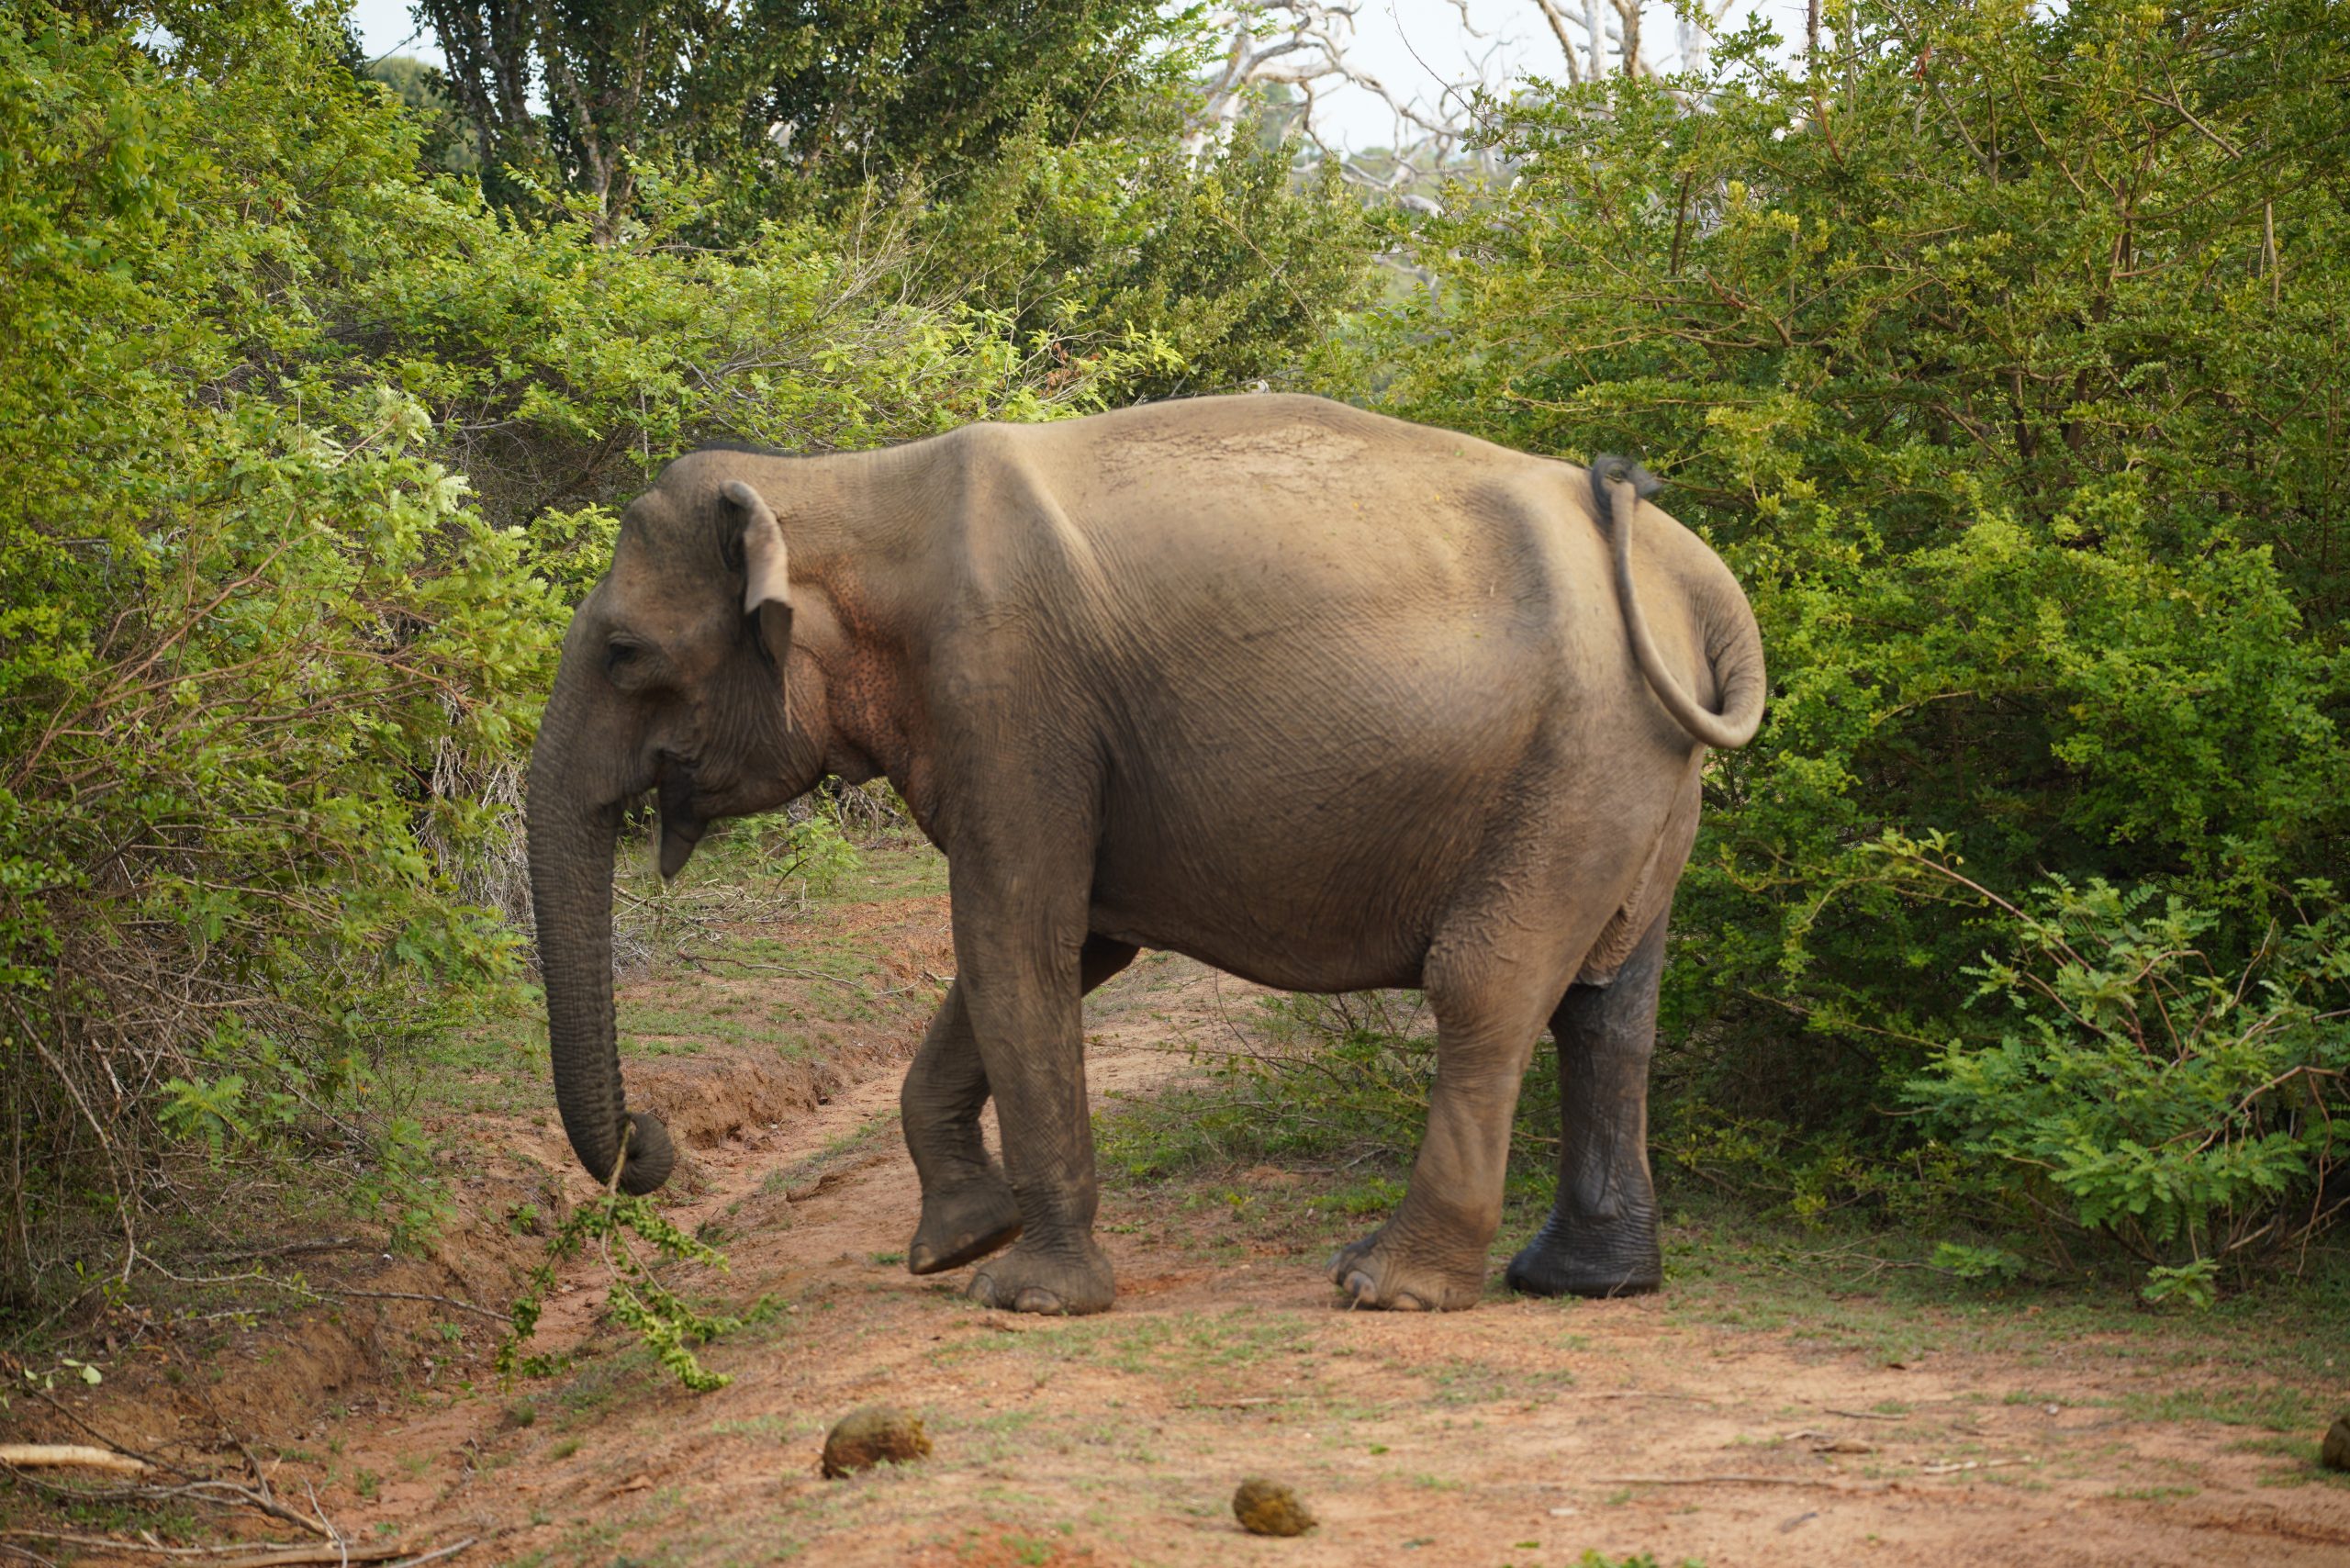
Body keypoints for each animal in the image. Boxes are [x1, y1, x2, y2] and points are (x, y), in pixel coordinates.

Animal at [526, 394, 1765, 1316]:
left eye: (625, 651)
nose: (649, 1141)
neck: (847, 488)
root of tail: (1702, 583)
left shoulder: (1008, 693)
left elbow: (1015, 938)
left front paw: (1026, 1296)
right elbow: (1073, 946)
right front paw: (956, 1244)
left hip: (1576, 758)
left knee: (1486, 985)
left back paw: (1385, 1285)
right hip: (1627, 775)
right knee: (1608, 1003)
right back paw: (1582, 1281)